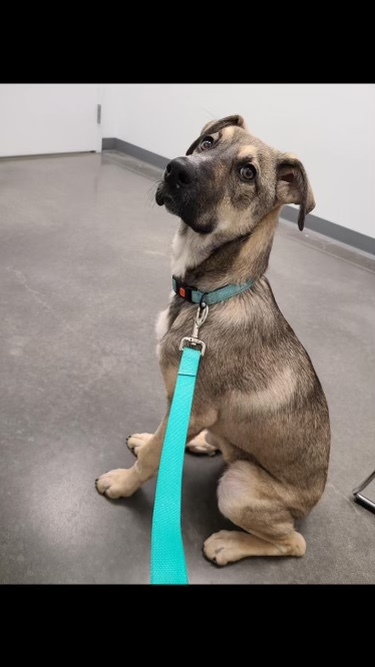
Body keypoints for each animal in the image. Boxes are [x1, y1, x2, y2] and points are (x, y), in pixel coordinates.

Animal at [95, 116, 330, 568]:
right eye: (207, 142)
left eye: (248, 173)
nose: (175, 169)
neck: (210, 298)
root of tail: (312, 503)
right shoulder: (183, 400)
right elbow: (161, 437)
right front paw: (149, 440)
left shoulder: (196, 402)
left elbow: (154, 457)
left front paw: (122, 484)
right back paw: (204, 443)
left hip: (238, 487)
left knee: (294, 543)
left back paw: (228, 544)